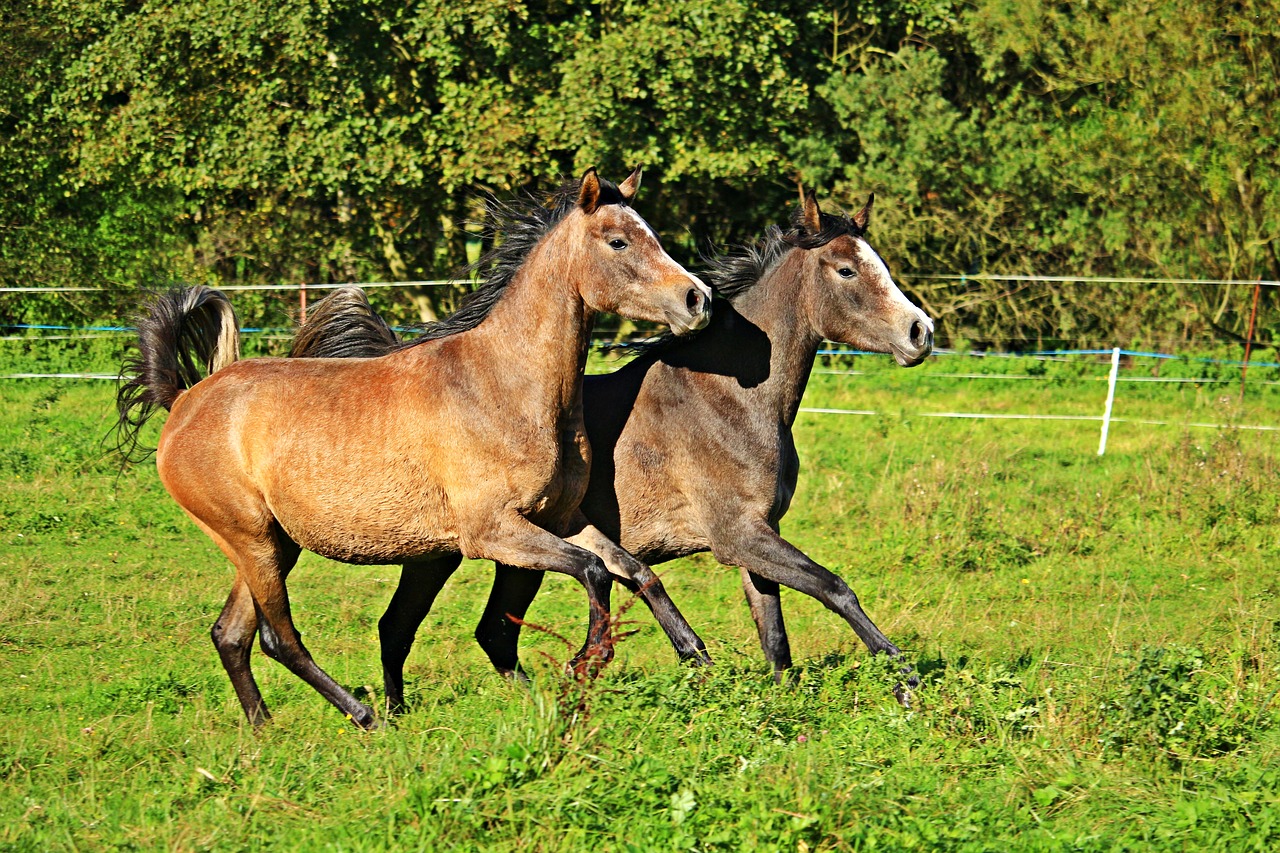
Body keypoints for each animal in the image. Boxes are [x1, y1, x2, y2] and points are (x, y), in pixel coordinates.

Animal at [113, 168, 714, 728]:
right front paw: (584, 662)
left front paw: (696, 655)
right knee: (276, 638)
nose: (697, 299)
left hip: (271, 545)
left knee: (230, 634)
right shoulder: (491, 532)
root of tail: (184, 400)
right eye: (618, 241)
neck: (504, 385)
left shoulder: (560, 518)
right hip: (252, 541)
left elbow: (634, 569)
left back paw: (264, 731)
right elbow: (592, 571)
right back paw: (365, 716)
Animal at [292, 189, 934, 695]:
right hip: (444, 553)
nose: (920, 332)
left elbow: (774, 637)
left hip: (510, 556)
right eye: (847, 270)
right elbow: (836, 589)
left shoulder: (757, 536)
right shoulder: (738, 537)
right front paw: (905, 682)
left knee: (486, 631)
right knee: (405, 628)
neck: (729, 399)